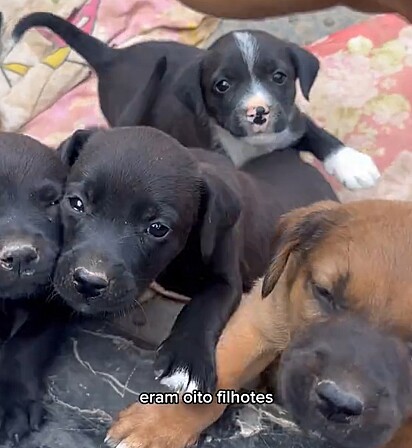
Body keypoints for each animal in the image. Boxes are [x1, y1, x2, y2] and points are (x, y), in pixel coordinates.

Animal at [12, 11, 380, 191]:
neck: (251, 144)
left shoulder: (289, 119)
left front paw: (353, 164)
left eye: (279, 77)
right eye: (222, 85)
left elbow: (317, 134)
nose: (258, 113)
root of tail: (111, 56)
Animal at [53, 124, 336, 394]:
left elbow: (203, 306)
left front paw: (185, 361)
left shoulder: (226, 277)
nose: (88, 282)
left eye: (157, 228)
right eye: (76, 203)